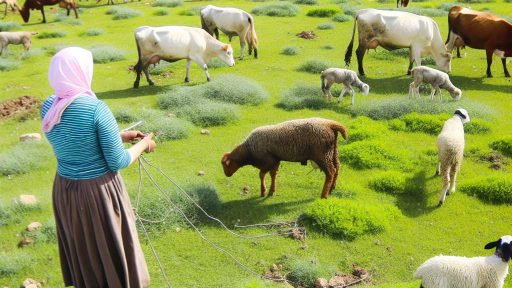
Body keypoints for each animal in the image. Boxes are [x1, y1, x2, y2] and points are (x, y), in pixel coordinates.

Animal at [220, 117, 348, 198]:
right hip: (332, 151)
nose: (226, 175)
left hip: (322, 154)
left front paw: (263, 191)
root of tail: (330, 124)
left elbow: (261, 175)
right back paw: (331, 189)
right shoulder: (275, 160)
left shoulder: (268, 160)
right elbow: (273, 175)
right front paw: (271, 191)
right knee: (337, 168)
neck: (249, 150)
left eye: (226, 165)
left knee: (330, 172)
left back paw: (324, 195)